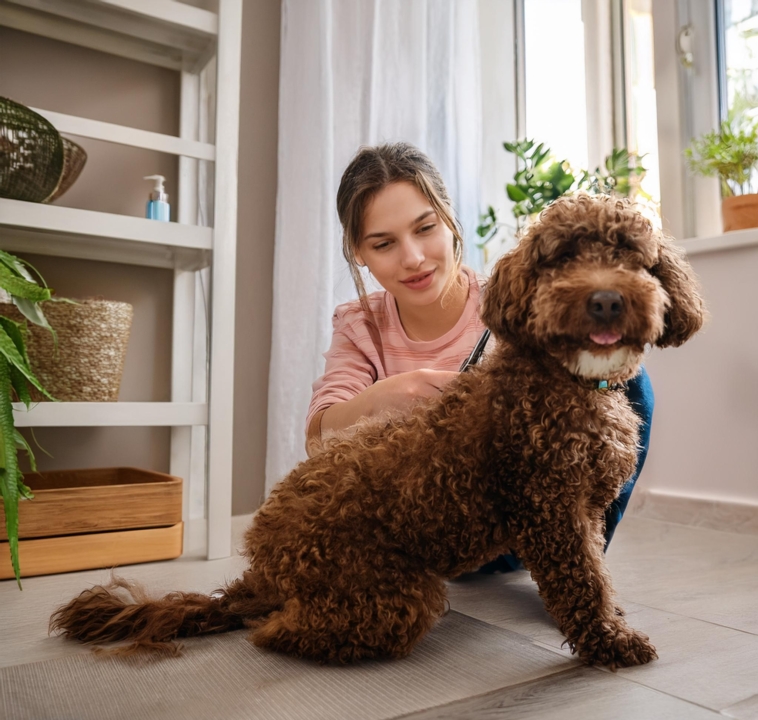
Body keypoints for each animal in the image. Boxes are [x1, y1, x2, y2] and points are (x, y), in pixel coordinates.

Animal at [52, 193, 708, 668]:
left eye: (631, 255)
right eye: (561, 256)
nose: (605, 301)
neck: (568, 379)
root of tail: (262, 565)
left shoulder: (586, 508)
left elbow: (596, 575)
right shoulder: (551, 509)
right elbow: (583, 582)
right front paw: (610, 642)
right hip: (394, 593)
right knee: (285, 630)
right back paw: (271, 624)